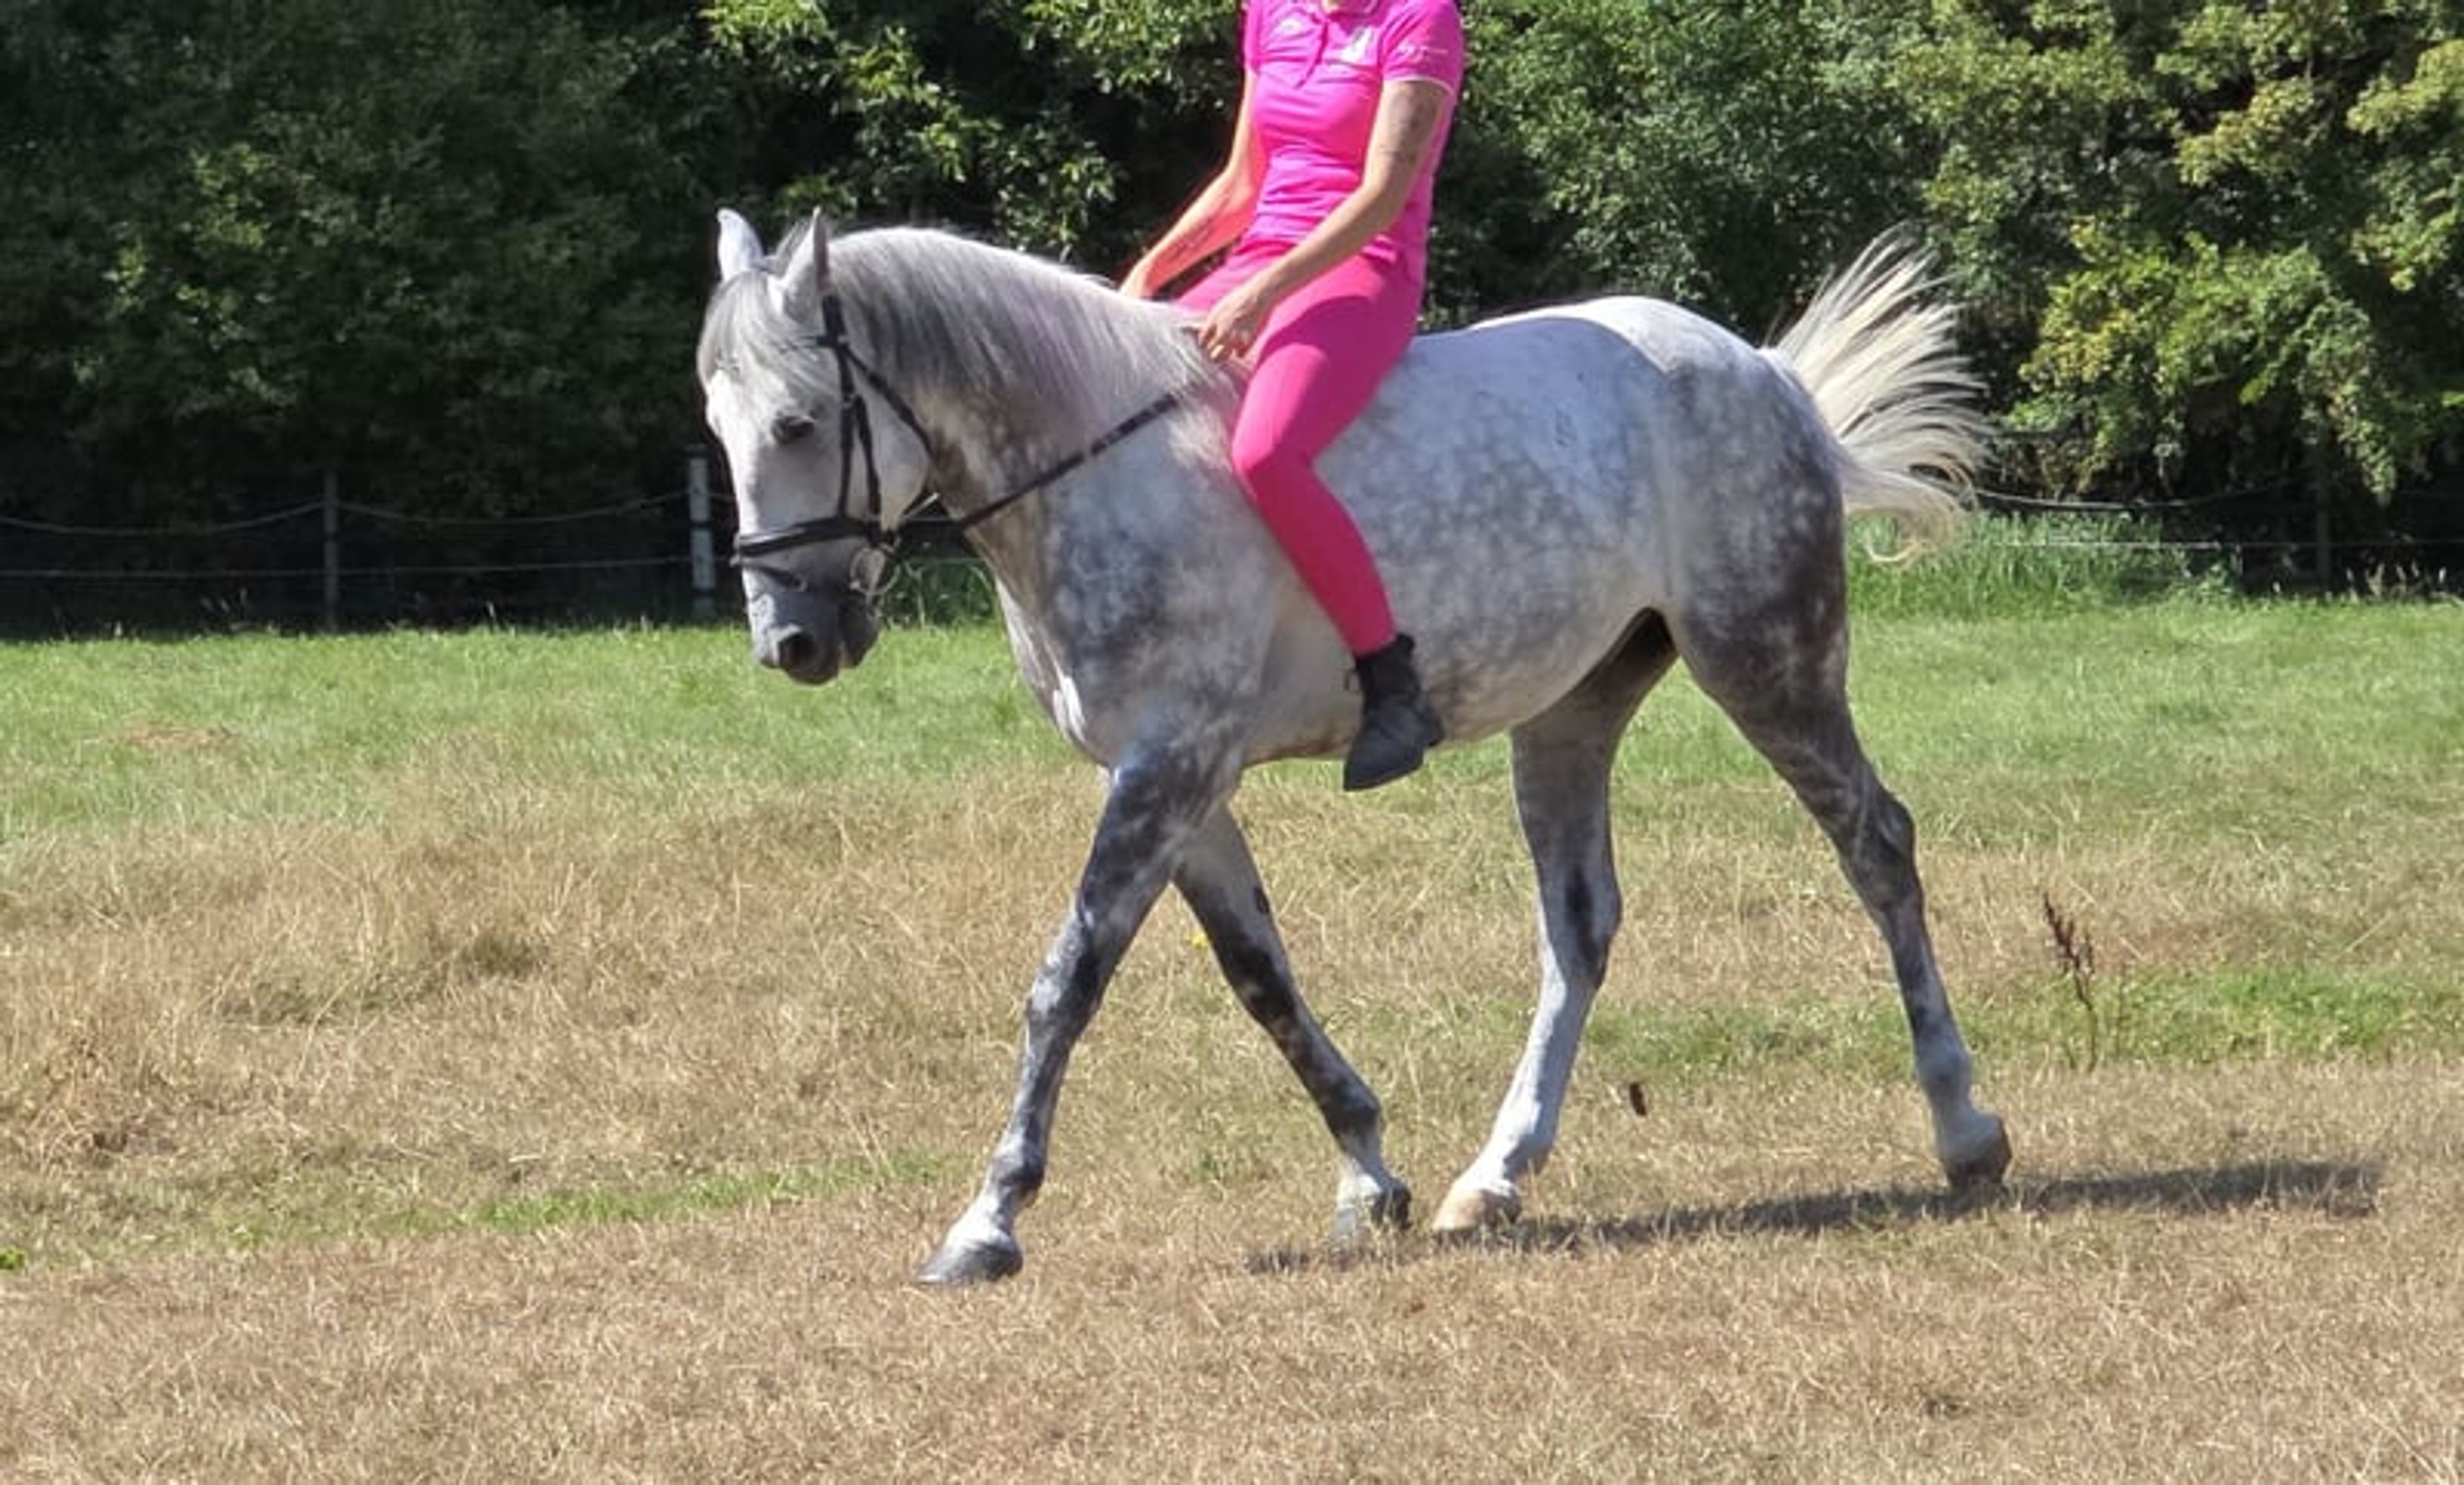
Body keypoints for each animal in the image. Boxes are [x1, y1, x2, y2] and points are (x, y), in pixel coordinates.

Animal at [697, 209, 2012, 1284]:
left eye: (800, 422)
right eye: (718, 428)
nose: (792, 640)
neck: (1092, 468)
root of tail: (1761, 368)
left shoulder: (1169, 764)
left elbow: (1066, 981)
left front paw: (988, 1218)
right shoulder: (1181, 783)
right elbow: (1260, 976)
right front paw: (1370, 1174)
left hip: (1766, 660)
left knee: (1874, 845)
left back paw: (1965, 1128)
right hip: (1572, 707)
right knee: (1579, 922)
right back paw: (1496, 1175)